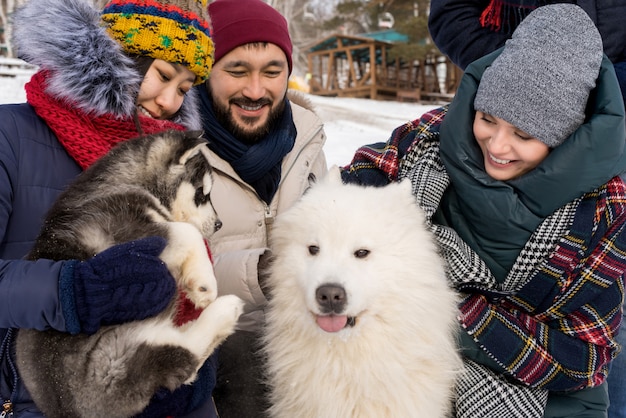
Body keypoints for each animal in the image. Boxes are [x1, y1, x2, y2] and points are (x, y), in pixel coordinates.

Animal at [15, 131, 244, 418]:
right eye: (202, 193)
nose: (219, 224)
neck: (122, 182)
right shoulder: (132, 230)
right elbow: (188, 232)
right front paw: (204, 284)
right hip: (120, 355)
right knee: (182, 356)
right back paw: (227, 310)